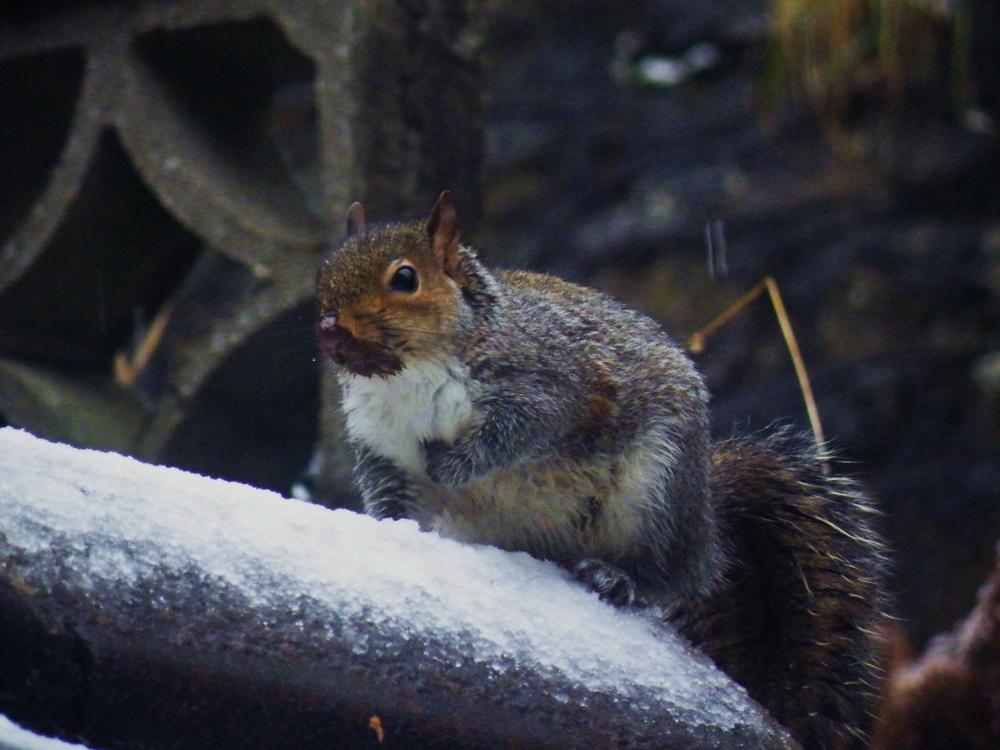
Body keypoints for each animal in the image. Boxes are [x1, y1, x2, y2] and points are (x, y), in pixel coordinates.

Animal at [316, 191, 888, 748]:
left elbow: (514, 435)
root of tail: (706, 527)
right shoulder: (381, 447)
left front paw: (454, 465)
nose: (330, 331)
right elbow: (394, 497)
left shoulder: (548, 386)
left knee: (670, 577)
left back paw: (620, 577)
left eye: (405, 278)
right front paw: (391, 526)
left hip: (656, 485)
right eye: (324, 272)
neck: (408, 374)